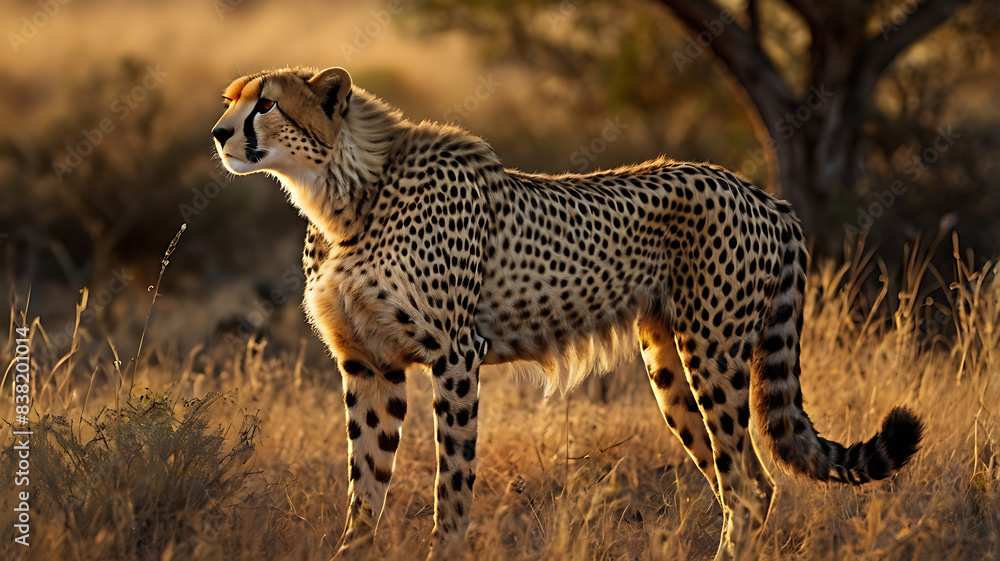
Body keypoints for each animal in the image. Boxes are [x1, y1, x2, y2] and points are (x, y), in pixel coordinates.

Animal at [211, 66, 923, 560]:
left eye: (267, 103)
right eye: (230, 100)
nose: (219, 134)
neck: (345, 195)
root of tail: (761, 192)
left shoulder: (455, 357)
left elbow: (453, 481)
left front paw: (447, 545)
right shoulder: (369, 365)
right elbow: (367, 483)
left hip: (712, 355)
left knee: (748, 484)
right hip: (667, 364)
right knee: (747, 483)